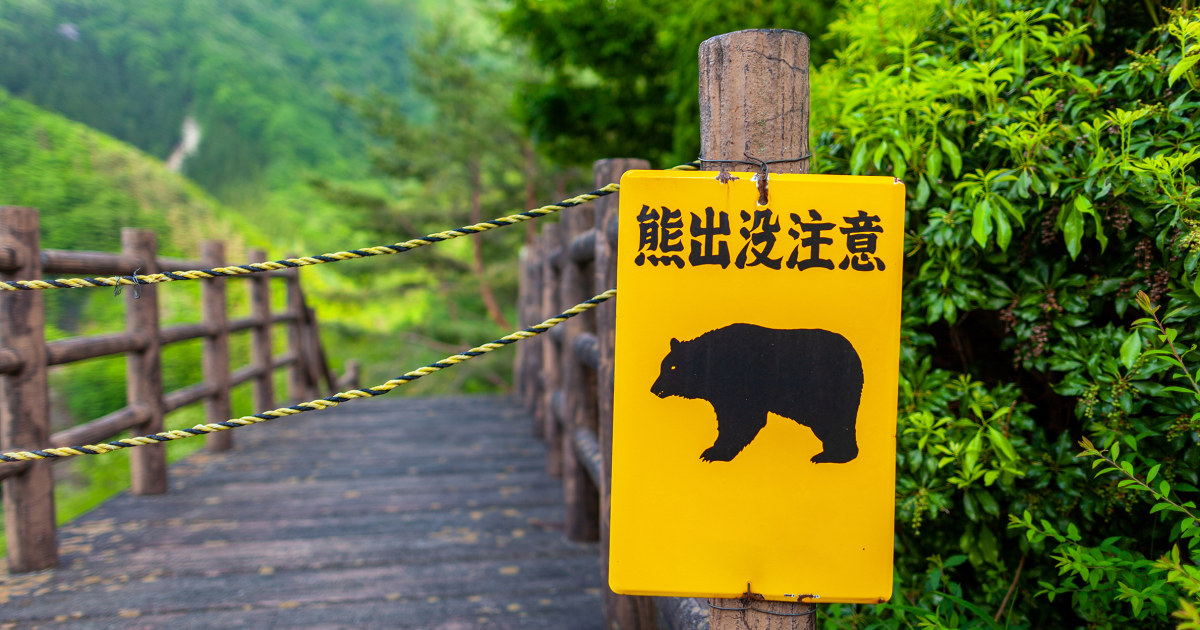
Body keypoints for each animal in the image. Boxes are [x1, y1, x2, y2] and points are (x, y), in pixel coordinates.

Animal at [650, 323, 863, 463]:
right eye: (663, 366)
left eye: (672, 367)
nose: (653, 388)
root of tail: (855, 354)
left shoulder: (741, 384)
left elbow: (742, 419)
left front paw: (713, 452)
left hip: (826, 391)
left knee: (834, 422)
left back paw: (831, 456)